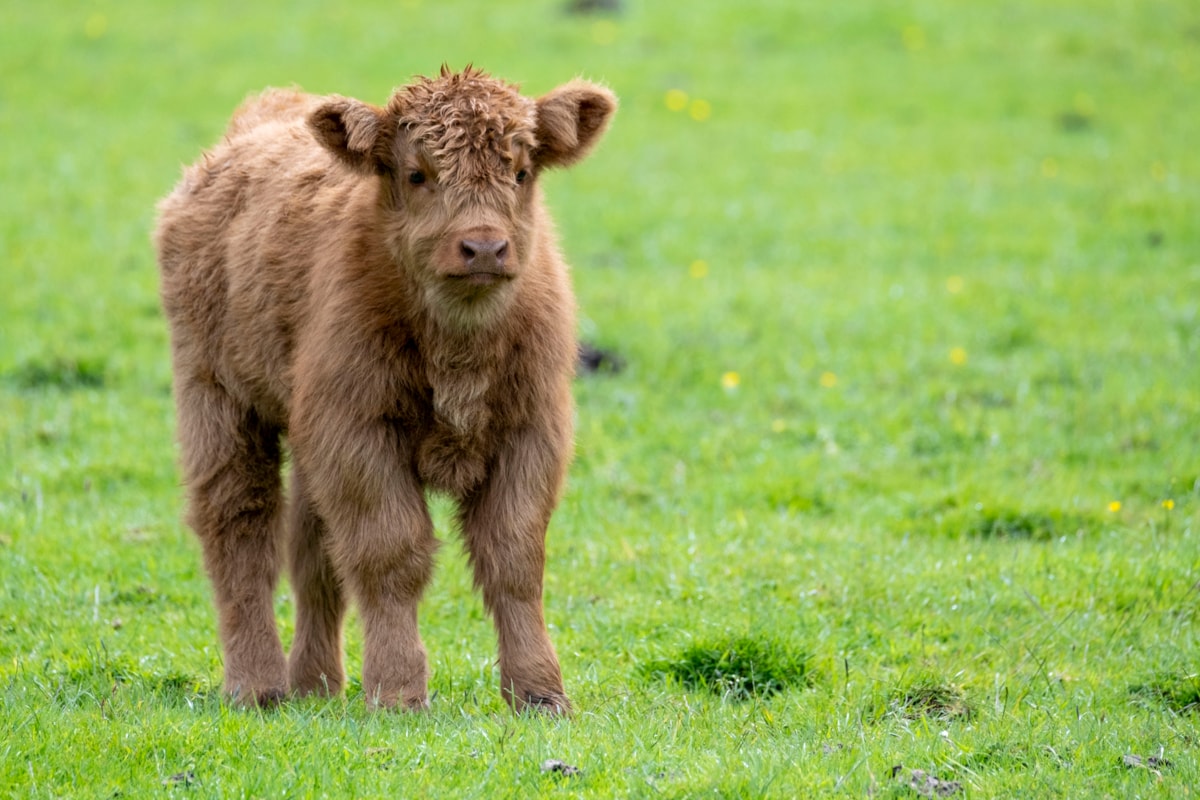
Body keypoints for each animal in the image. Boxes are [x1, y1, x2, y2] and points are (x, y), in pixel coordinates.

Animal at [154, 66, 616, 714]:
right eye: (416, 173)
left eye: (521, 172)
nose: (483, 247)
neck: (458, 347)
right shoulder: (359, 435)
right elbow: (391, 554)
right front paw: (397, 691)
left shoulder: (531, 432)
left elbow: (515, 559)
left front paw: (540, 694)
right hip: (218, 398)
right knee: (240, 530)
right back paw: (257, 684)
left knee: (312, 554)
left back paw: (316, 685)